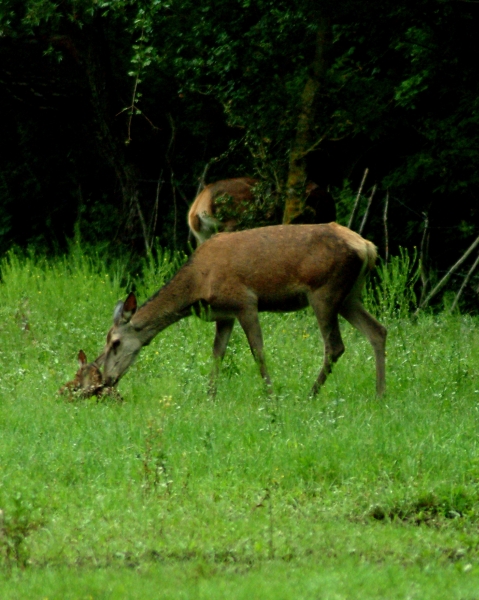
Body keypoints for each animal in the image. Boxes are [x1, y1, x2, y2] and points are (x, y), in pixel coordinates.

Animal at [99, 223, 388, 396]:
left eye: (115, 342)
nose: (106, 379)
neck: (197, 285)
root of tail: (368, 247)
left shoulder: (244, 301)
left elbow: (257, 350)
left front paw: (271, 394)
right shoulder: (224, 314)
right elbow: (218, 352)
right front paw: (210, 395)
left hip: (324, 290)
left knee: (335, 345)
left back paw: (311, 393)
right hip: (350, 296)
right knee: (378, 330)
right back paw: (379, 394)